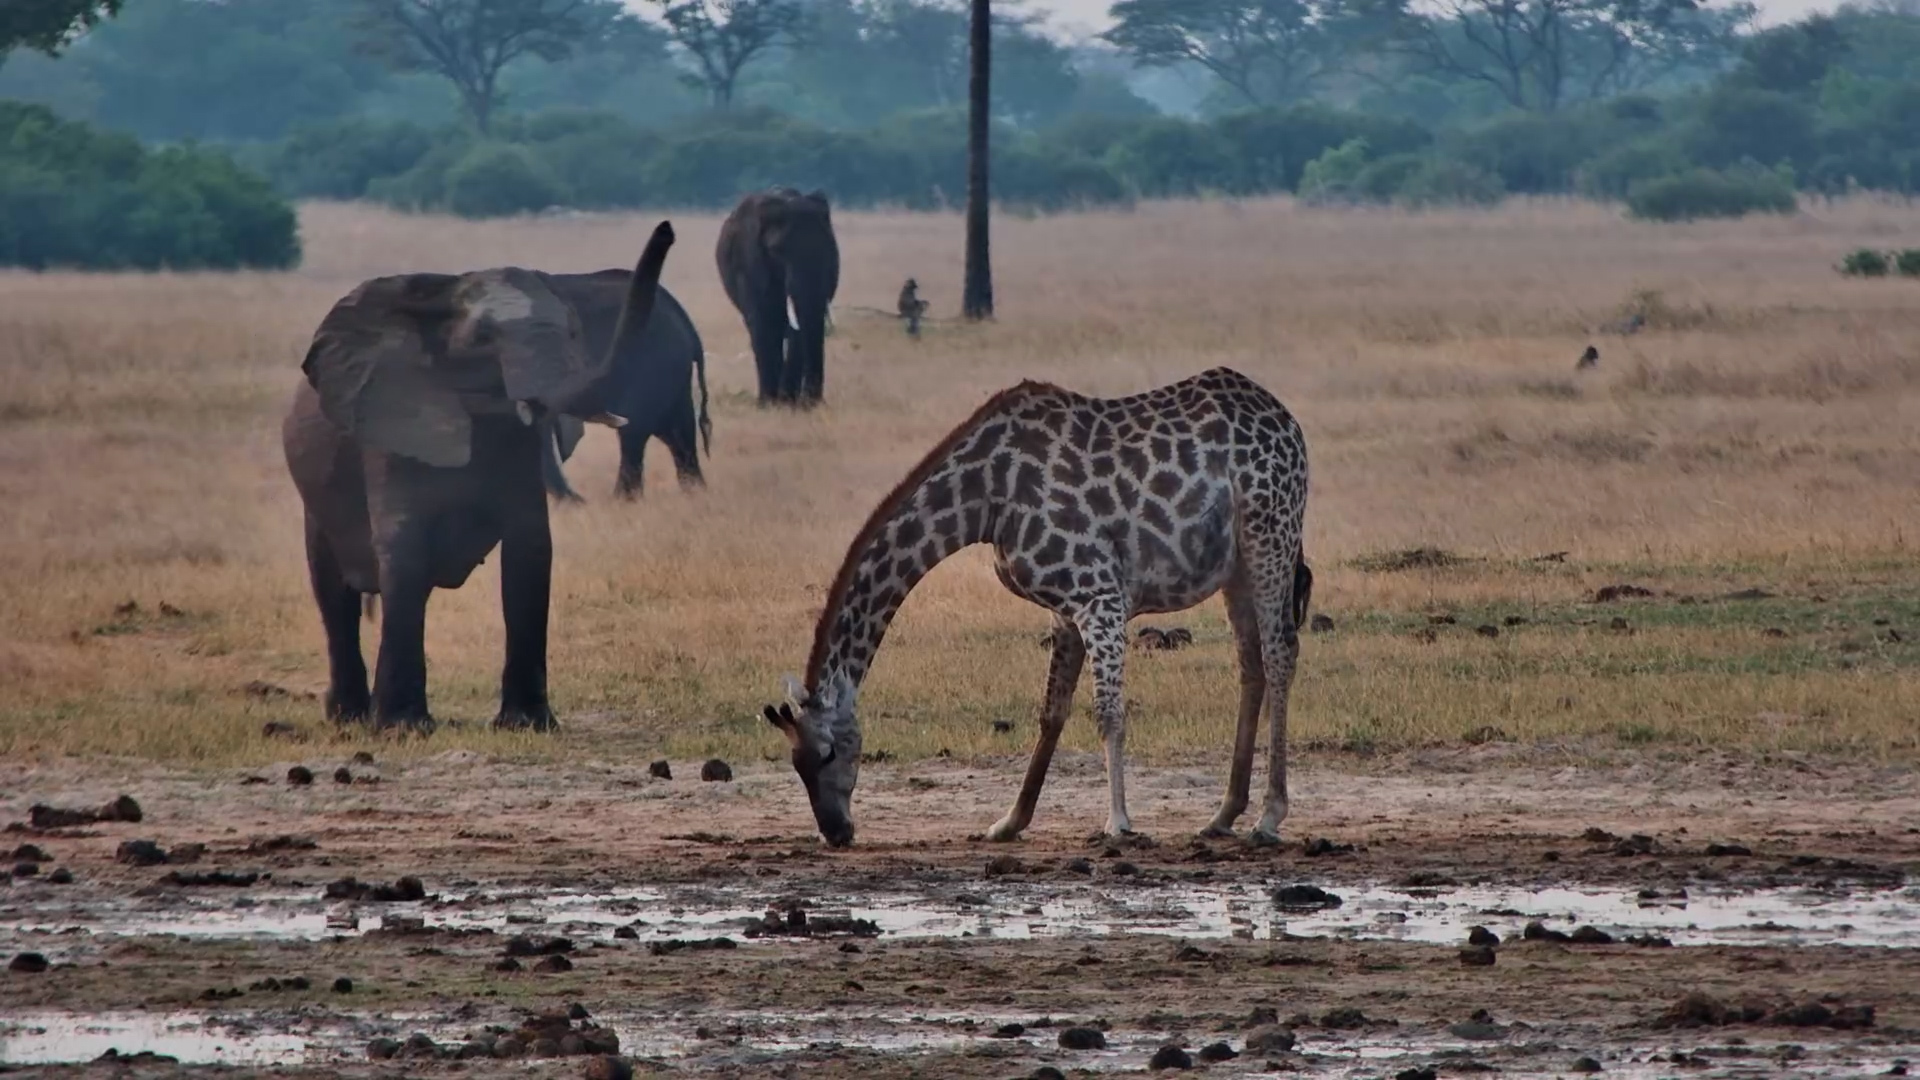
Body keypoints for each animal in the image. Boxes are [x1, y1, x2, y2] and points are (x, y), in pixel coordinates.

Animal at [282, 221, 676, 732]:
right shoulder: (388, 429)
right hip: (317, 496)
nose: (666, 229)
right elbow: (404, 549)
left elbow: (530, 551)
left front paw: (527, 724)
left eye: (573, 331)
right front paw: (402, 727)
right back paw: (348, 717)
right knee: (335, 593)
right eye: (484, 337)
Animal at [716, 187, 840, 405]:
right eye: (776, 251)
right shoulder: (749, 262)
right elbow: (762, 321)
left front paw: (791, 403)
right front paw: (770, 404)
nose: (815, 402)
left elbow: (796, 328)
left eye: (829, 246)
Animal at [762, 367, 1311, 847]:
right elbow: (1051, 711)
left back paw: (1268, 817)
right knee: (1251, 665)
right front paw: (1008, 822)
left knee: (1280, 655)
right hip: (1235, 566)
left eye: (829, 753)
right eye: (795, 763)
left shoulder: (1100, 594)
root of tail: (1287, 421)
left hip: (1270, 535)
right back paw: (1223, 815)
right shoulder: (1065, 608)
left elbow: (1108, 712)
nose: (836, 832)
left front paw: (1118, 823)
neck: (984, 501)